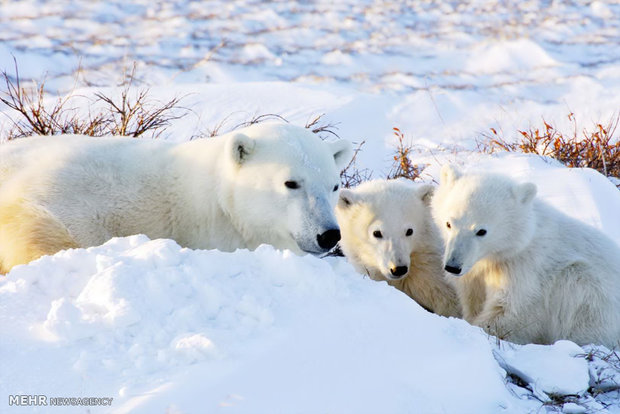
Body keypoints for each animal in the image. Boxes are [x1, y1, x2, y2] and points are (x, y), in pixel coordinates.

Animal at [432, 164, 620, 346]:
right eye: (449, 223)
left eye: (481, 231)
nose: (453, 266)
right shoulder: (476, 272)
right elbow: (472, 296)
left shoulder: (525, 270)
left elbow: (512, 310)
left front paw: (480, 329)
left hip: (590, 293)